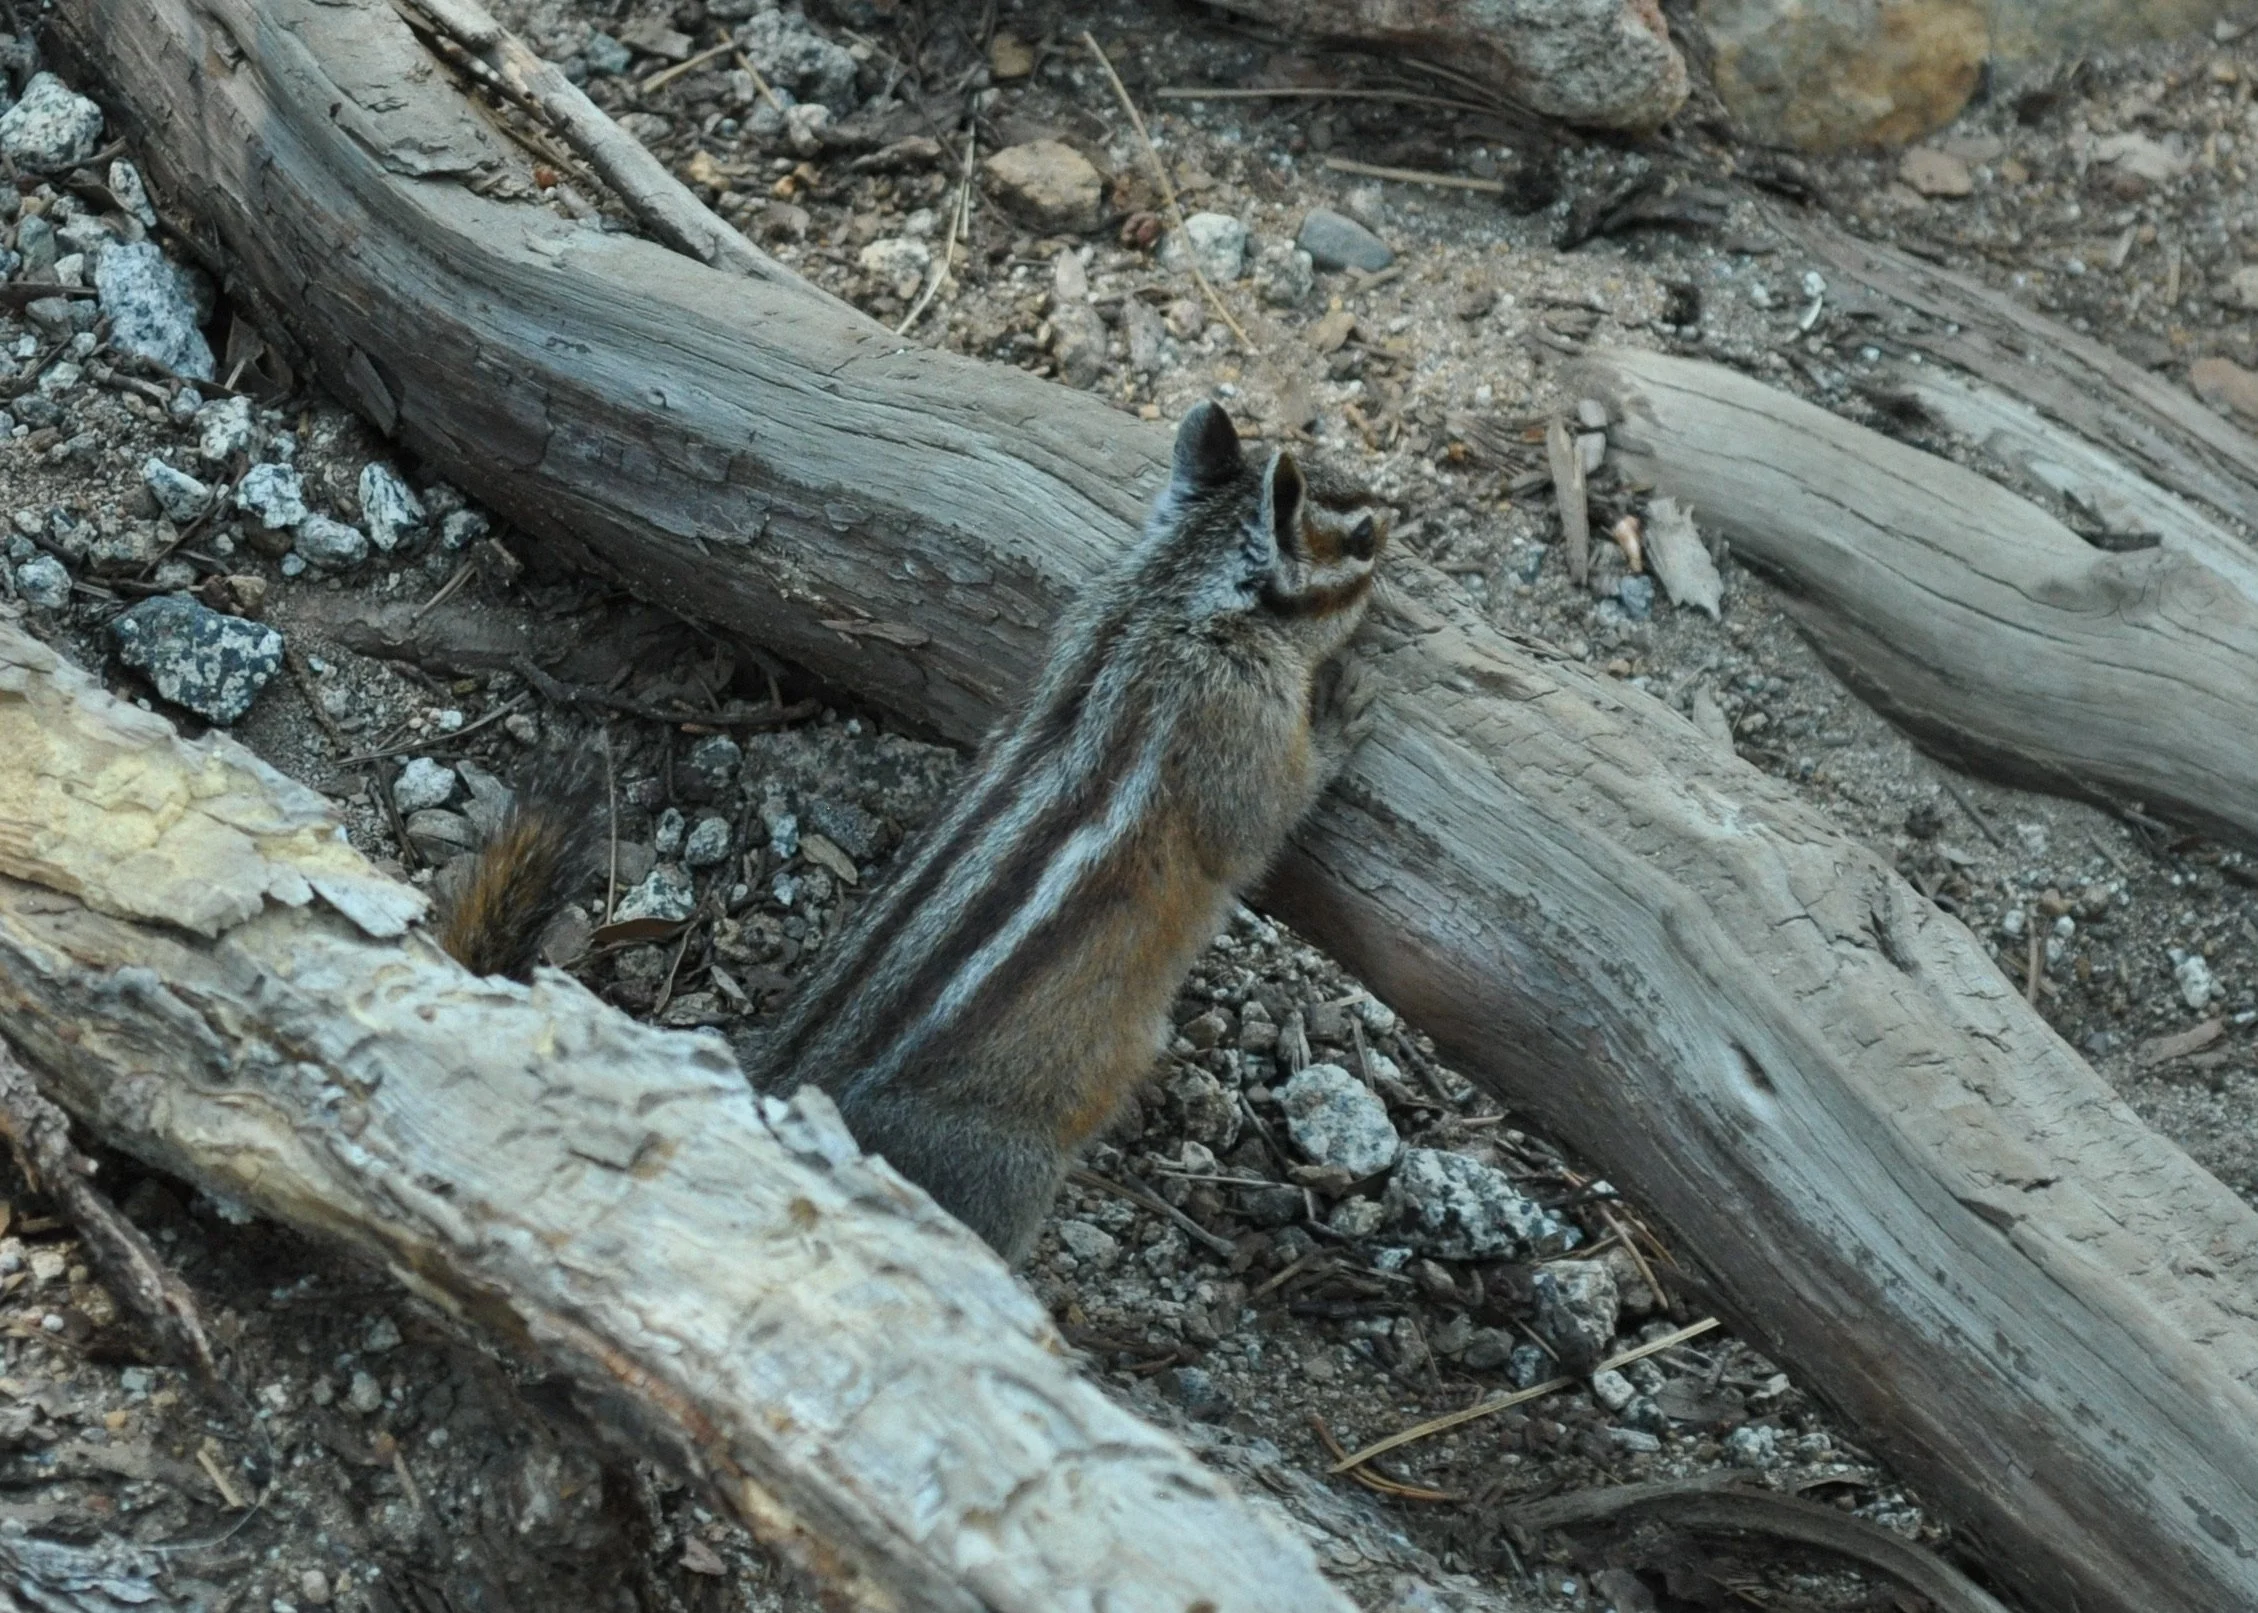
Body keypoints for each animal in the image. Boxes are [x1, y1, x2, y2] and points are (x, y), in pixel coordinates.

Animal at [437, 403, 1388, 1263]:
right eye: (1365, 534)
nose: (1397, 518)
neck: (1172, 597)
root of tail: (775, 1090)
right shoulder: (1229, 719)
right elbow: (1260, 821)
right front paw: (1342, 711)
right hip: (1000, 1177)